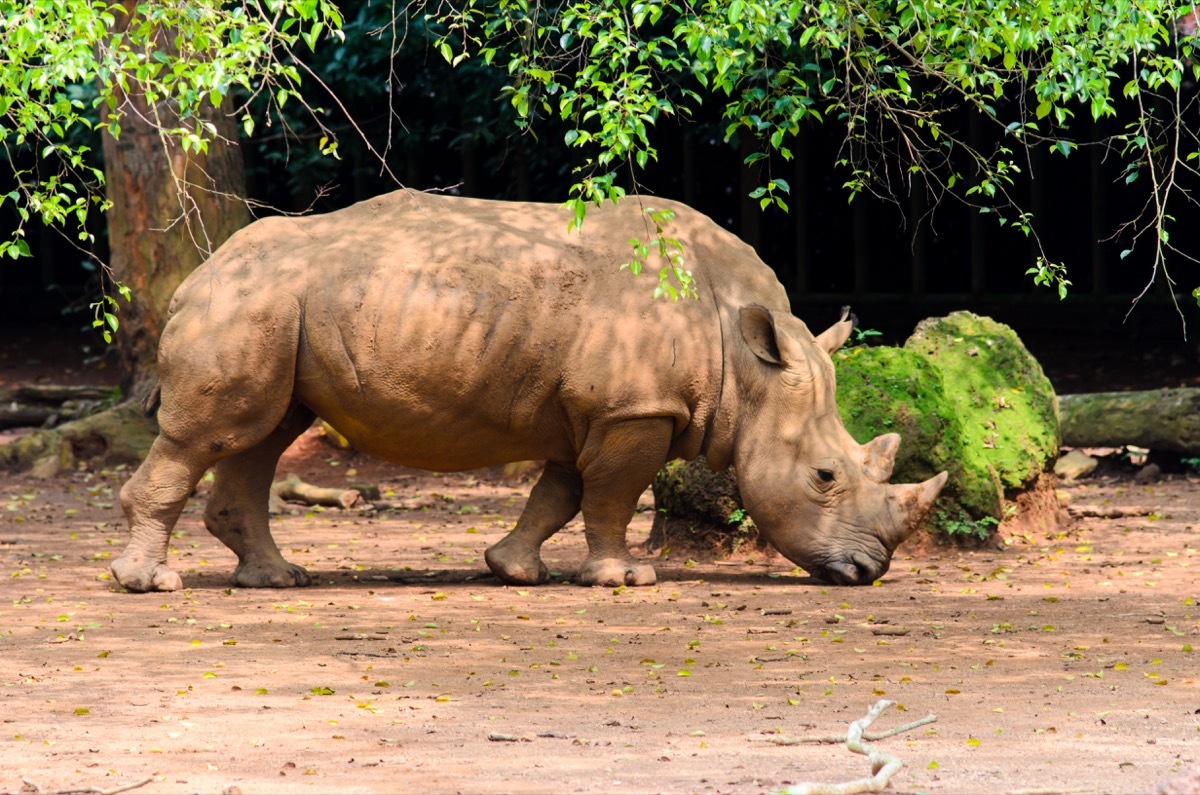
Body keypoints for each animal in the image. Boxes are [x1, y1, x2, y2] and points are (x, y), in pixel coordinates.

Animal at [111, 191, 946, 593]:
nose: (870, 570)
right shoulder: (633, 407)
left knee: (264, 431)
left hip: (280, 305)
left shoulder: (595, 407)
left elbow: (562, 491)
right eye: (825, 476)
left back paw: (277, 579)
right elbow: (612, 494)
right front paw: (623, 578)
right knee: (210, 434)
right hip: (245, 301)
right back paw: (151, 584)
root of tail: (196, 271)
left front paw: (512, 567)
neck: (747, 363)